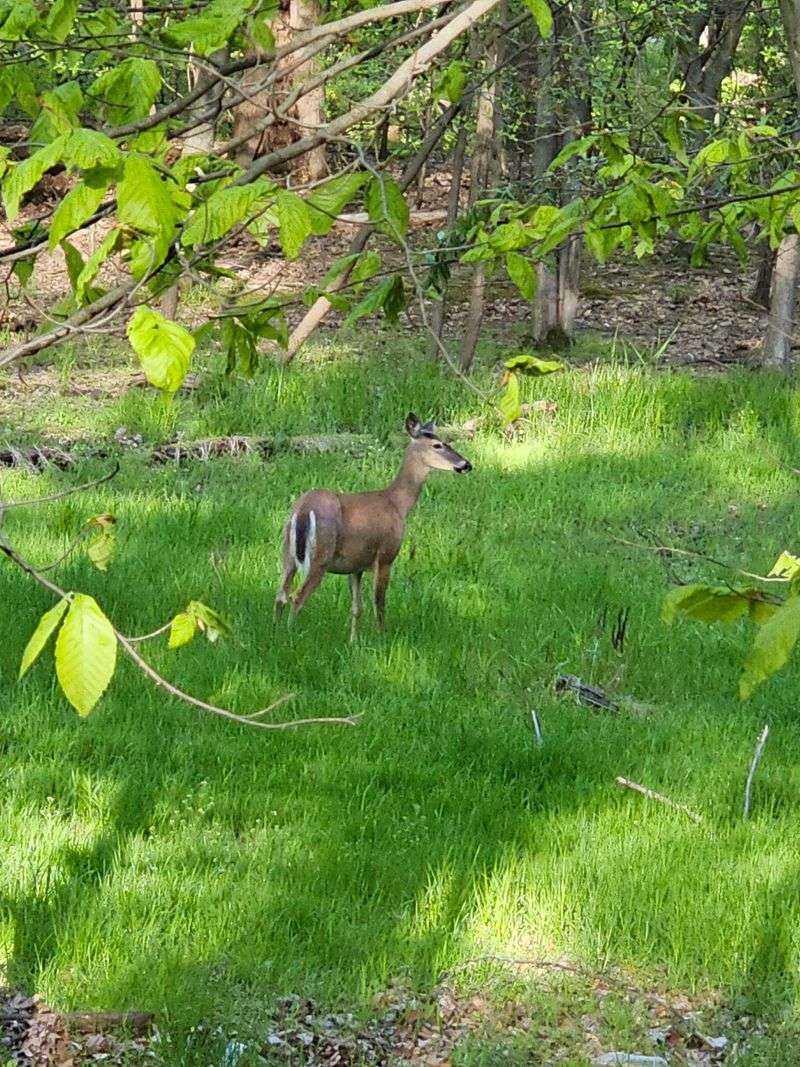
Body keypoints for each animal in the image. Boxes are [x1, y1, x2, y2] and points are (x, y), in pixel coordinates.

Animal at [274, 413, 473, 641]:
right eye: (437, 445)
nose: (466, 464)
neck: (397, 504)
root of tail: (303, 510)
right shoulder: (386, 555)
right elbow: (379, 603)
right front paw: (381, 638)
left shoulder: (355, 565)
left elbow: (356, 607)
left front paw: (353, 641)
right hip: (320, 556)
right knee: (297, 596)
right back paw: (290, 636)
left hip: (287, 553)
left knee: (280, 594)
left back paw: (275, 632)